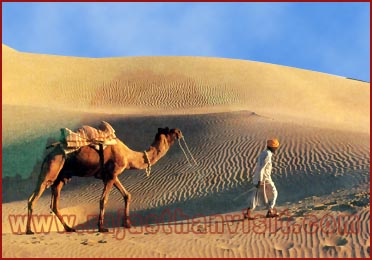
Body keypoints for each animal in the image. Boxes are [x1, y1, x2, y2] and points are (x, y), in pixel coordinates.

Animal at [26, 126, 183, 234]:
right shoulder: (112, 175)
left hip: (60, 178)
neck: (129, 156)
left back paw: (69, 228)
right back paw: (29, 230)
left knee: (54, 204)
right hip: (51, 170)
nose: (180, 132)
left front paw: (127, 224)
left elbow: (127, 195)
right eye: (170, 131)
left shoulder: (111, 176)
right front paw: (101, 227)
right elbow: (103, 200)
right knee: (33, 199)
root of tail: (49, 154)